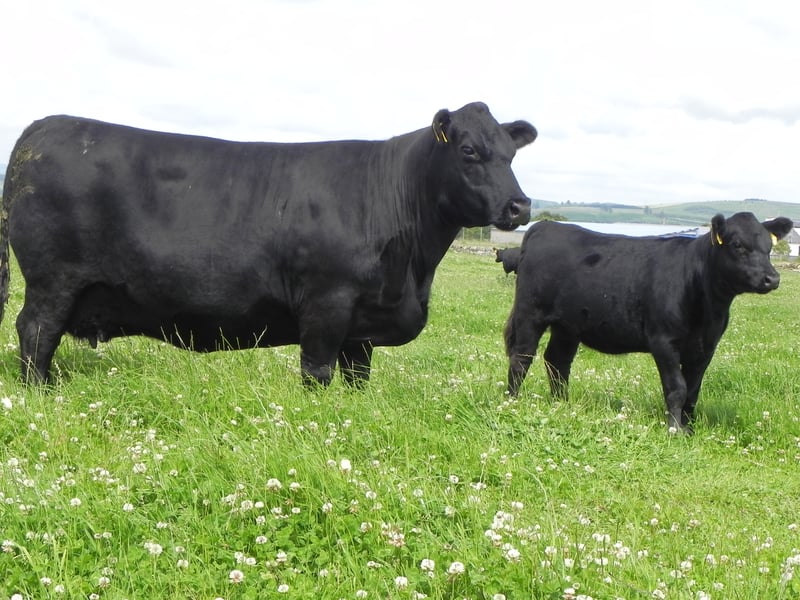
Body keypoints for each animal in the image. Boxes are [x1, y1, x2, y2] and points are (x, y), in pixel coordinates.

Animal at [0, 102, 537, 385]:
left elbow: (357, 379)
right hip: (53, 280)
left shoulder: (361, 330)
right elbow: (316, 372)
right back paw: (41, 391)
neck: (414, 270)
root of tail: (40, 128)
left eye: (511, 154)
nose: (519, 206)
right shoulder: (326, 304)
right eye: (468, 151)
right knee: (35, 331)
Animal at [504, 213, 794, 433]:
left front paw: (689, 429)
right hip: (530, 314)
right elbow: (677, 388)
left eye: (769, 247)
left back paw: (562, 404)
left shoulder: (705, 348)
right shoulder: (664, 341)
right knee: (521, 358)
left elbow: (693, 391)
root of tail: (545, 226)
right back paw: (512, 401)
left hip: (568, 325)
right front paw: (675, 429)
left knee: (557, 361)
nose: (772, 278)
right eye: (737, 245)